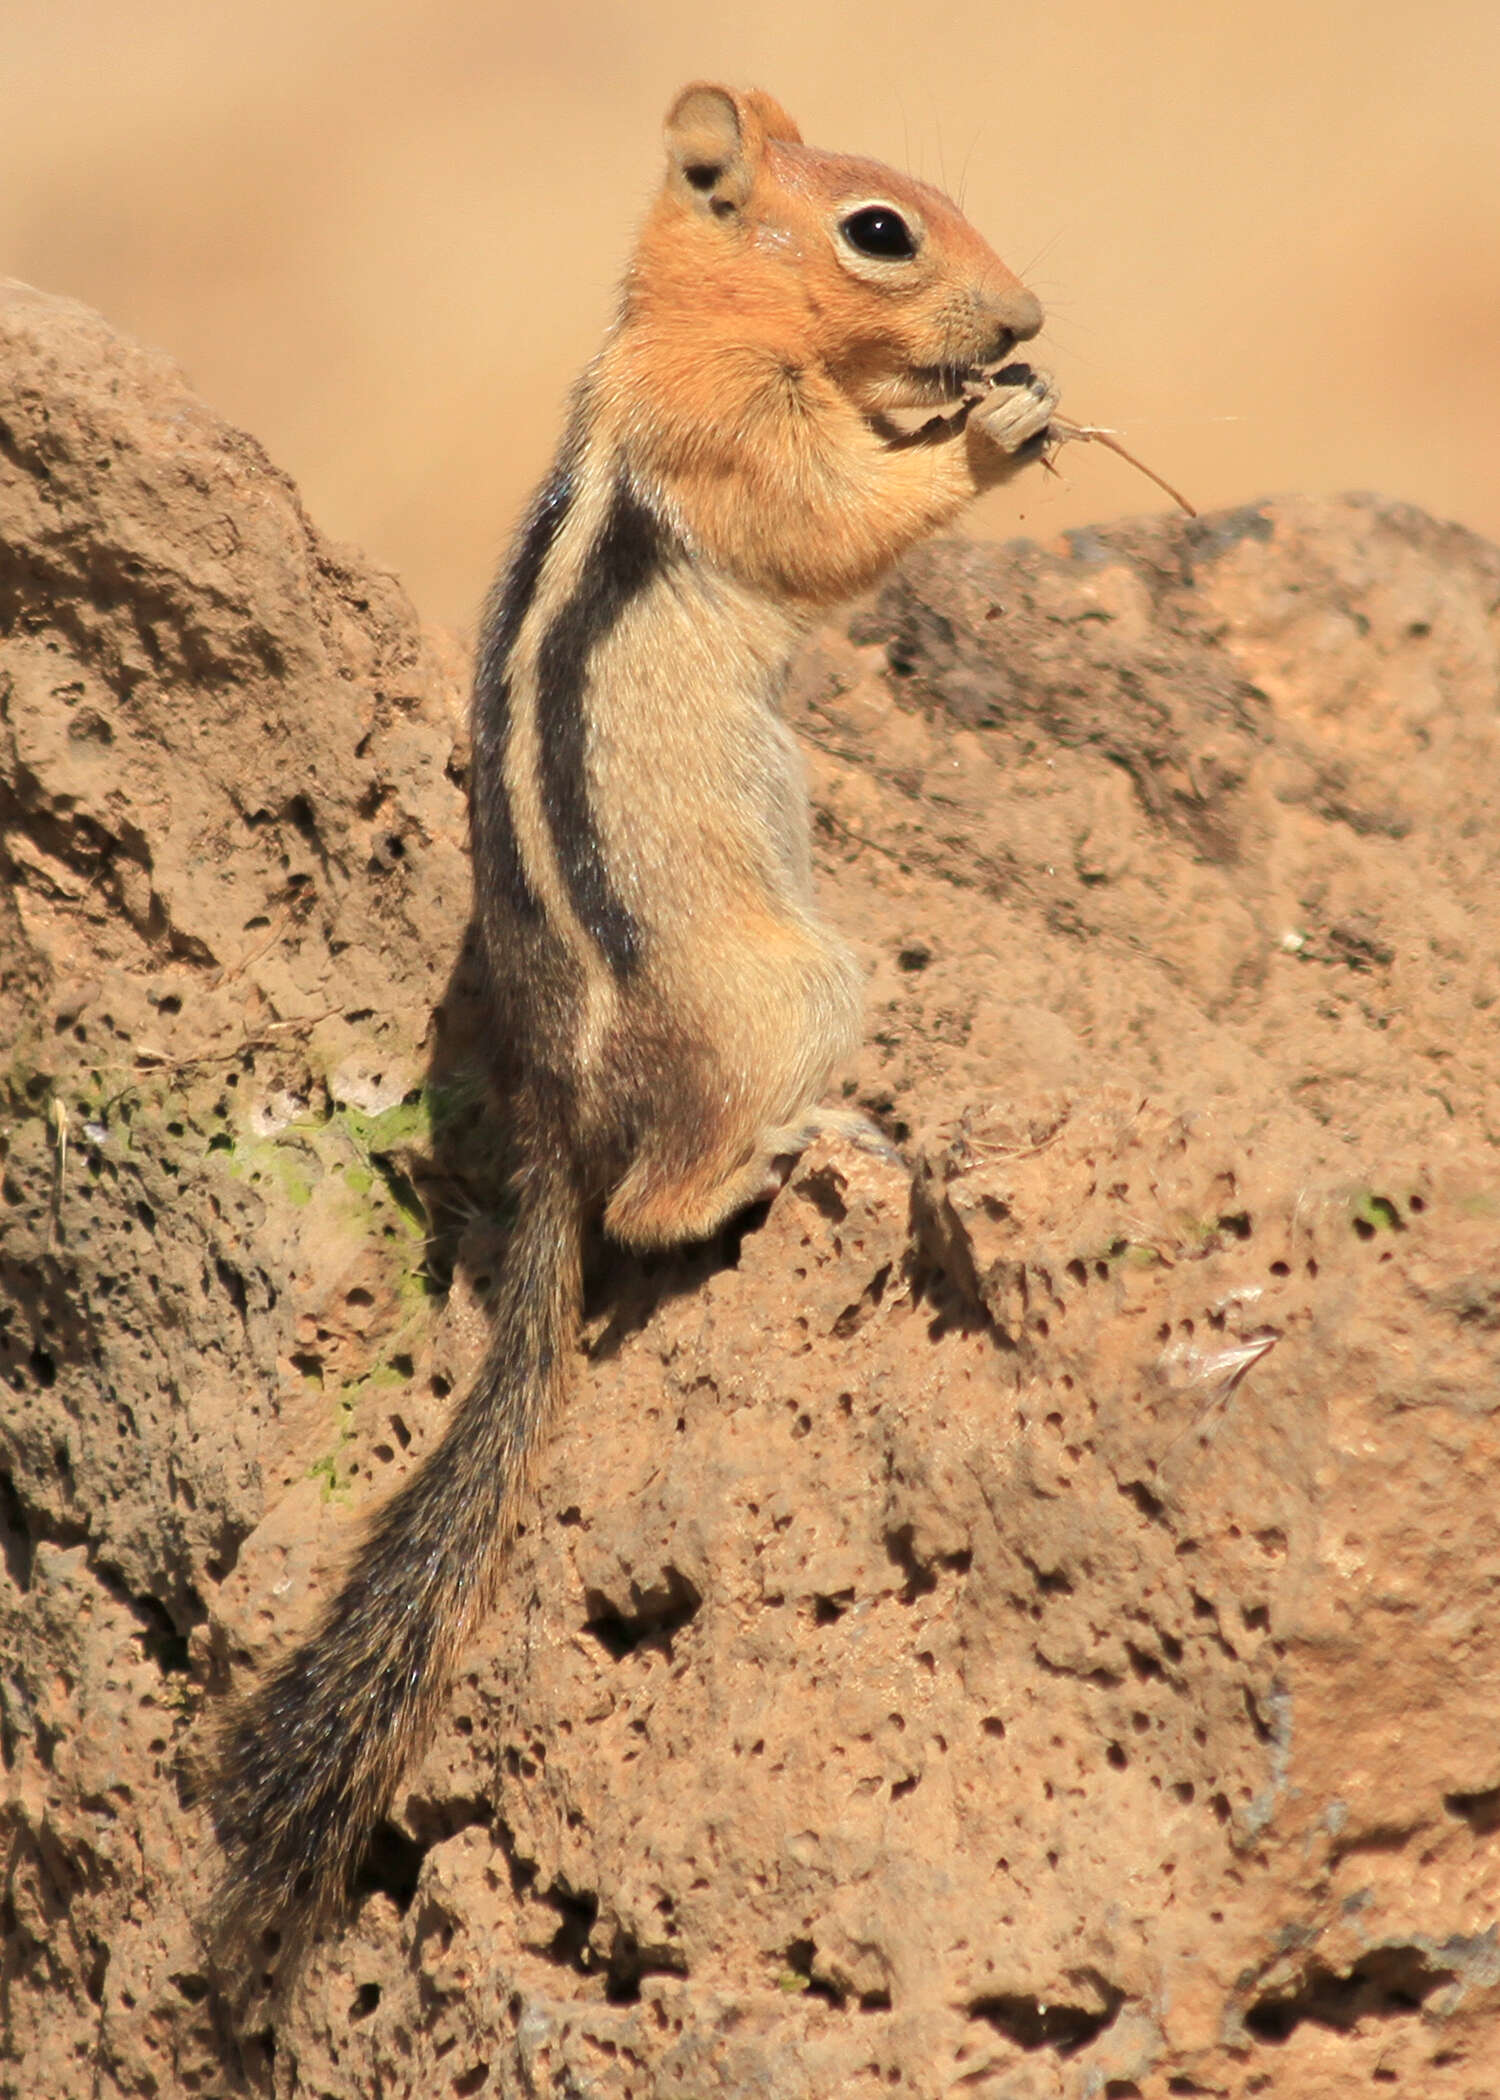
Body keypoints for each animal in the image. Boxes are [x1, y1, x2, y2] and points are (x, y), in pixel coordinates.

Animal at [206, 81, 1050, 1948]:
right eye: (880, 231)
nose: (1028, 321)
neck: (700, 317)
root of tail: (556, 1128)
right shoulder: (739, 445)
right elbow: (842, 525)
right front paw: (996, 433)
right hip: (798, 988)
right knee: (658, 1207)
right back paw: (778, 1157)